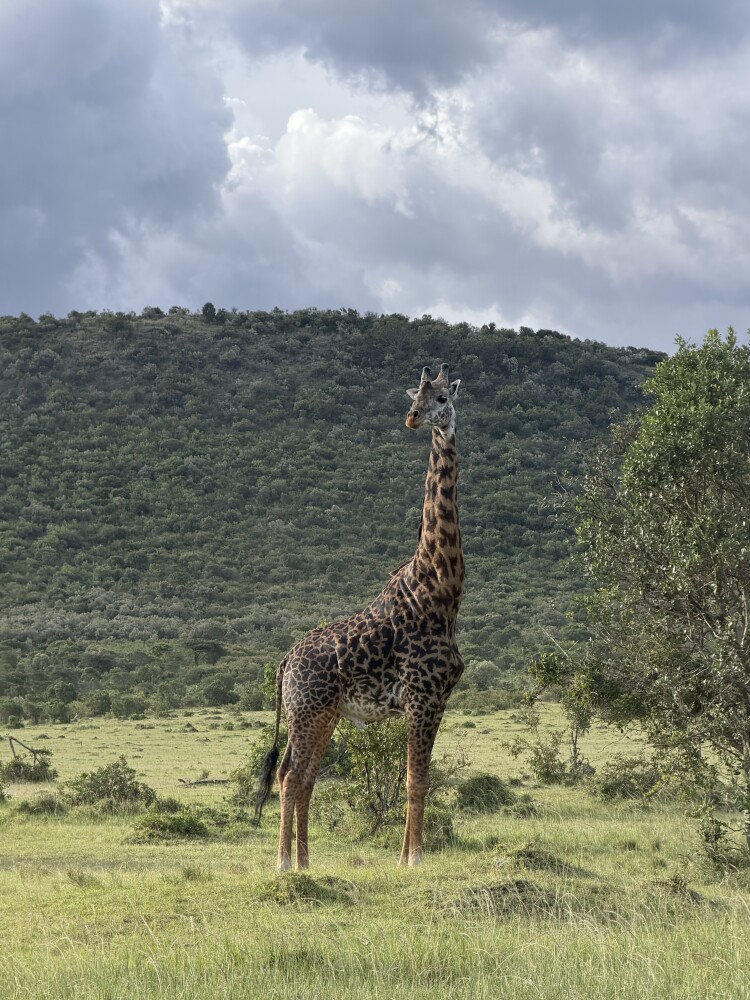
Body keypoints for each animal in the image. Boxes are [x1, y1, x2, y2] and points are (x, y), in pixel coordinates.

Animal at [254, 362, 465, 870]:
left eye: (443, 398)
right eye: (416, 397)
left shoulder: (436, 700)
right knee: (291, 776)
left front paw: (406, 856)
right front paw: (414, 859)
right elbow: (416, 780)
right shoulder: (424, 698)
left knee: (302, 777)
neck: (443, 588)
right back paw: (284, 863)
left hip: (321, 713)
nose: (412, 418)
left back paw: (304, 862)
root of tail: (285, 663)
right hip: (308, 711)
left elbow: (416, 780)